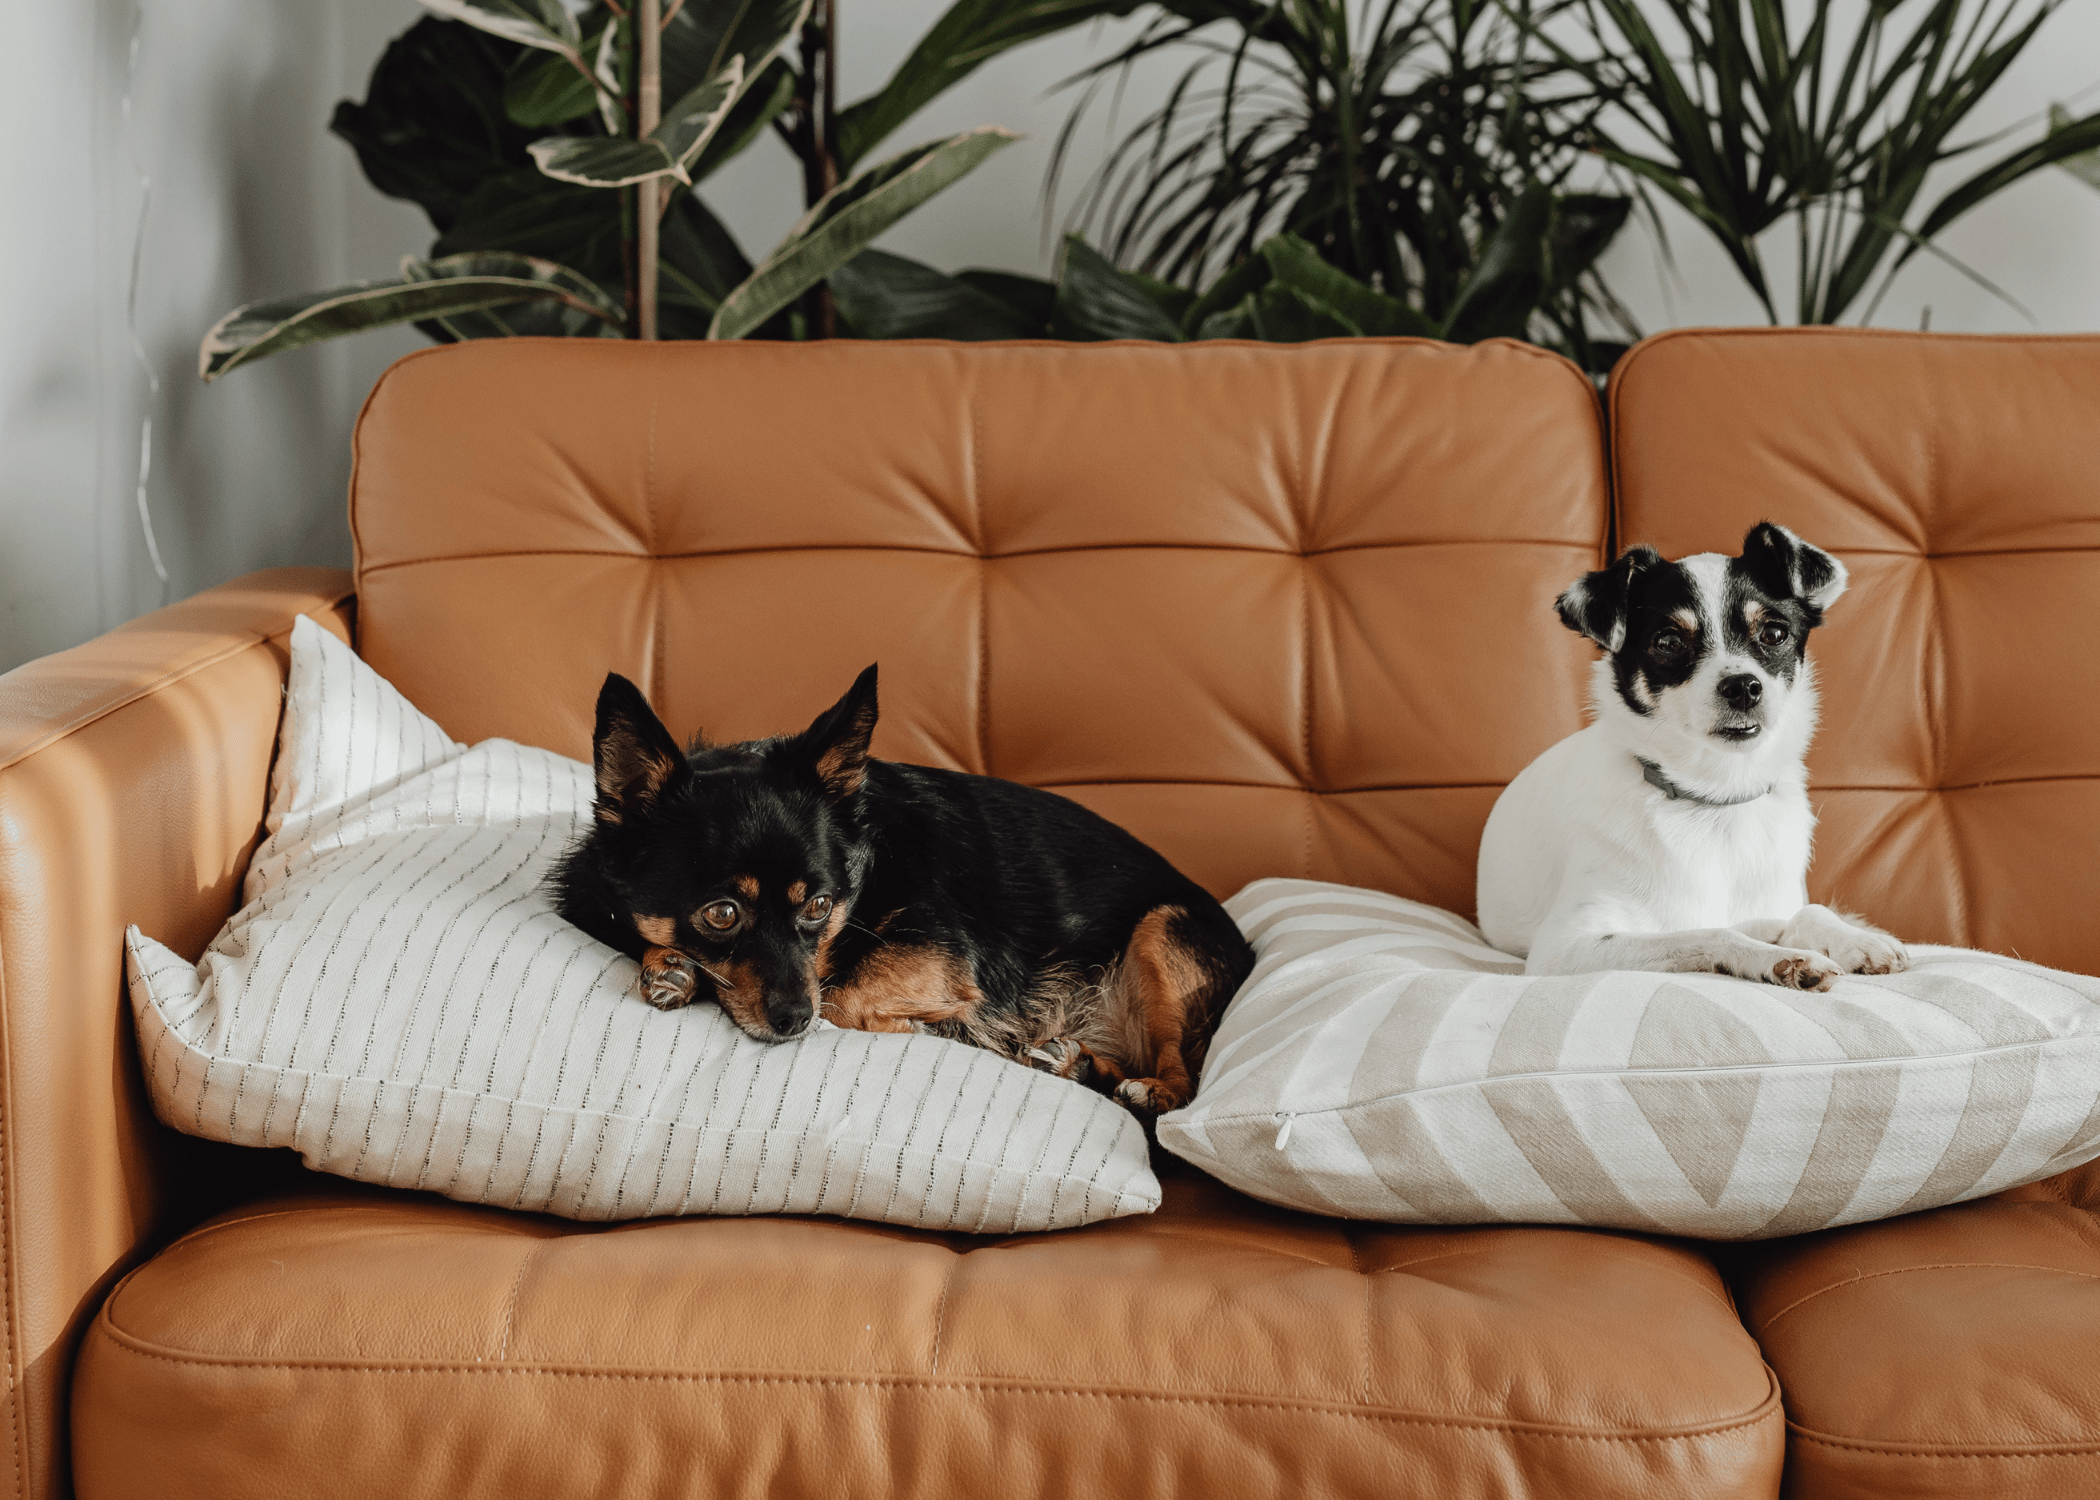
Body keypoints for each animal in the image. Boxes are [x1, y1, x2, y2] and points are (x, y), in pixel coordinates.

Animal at [550, 663, 1251, 1109]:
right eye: (721, 914)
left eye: (820, 906)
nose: (791, 1021)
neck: (868, 871)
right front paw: (669, 965)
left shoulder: (940, 960)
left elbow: (840, 997)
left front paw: (931, 1029)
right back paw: (1082, 1065)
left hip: (1164, 928)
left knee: (1183, 1082)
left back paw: (1138, 1087)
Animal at [1478, 521, 1906, 987]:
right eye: (1667, 642)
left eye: (1775, 634)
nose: (1743, 686)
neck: (1716, 798)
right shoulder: (1565, 949)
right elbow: (1712, 931)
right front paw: (1787, 959)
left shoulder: (1773, 910)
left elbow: (1809, 911)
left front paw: (1858, 940)